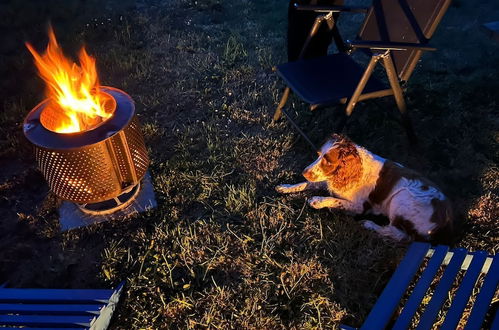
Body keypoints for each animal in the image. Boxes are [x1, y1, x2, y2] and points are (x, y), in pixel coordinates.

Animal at [280, 134, 456, 242]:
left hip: (402, 198)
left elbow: (334, 199)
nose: (304, 172)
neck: (356, 168)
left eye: (328, 161)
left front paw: (317, 200)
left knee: (399, 235)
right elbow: (309, 183)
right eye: (318, 155)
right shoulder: (331, 181)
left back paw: (370, 225)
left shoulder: (360, 206)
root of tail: (447, 218)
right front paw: (286, 187)